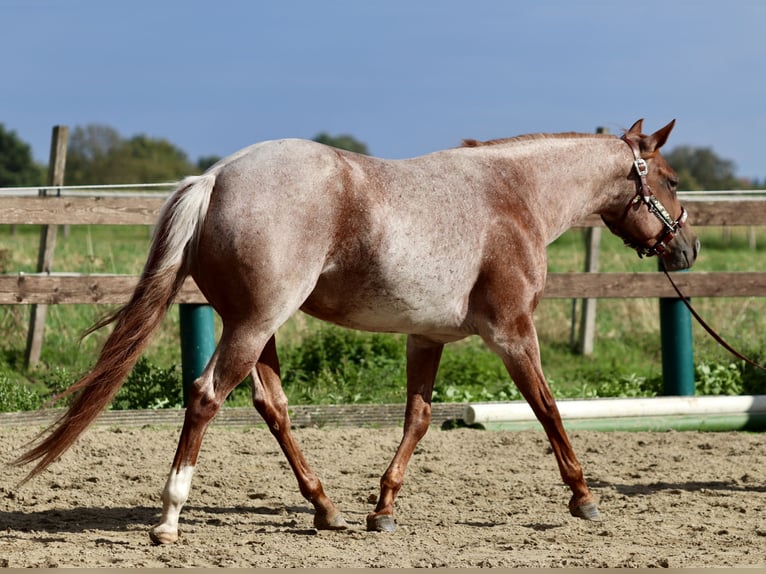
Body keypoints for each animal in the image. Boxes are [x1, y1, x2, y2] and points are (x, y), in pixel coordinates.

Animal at [13, 118, 699, 544]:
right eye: (668, 181)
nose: (686, 249)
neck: (512, 195)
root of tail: (215, 178)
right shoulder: (511, 332)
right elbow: (548, 408)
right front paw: (584, 497)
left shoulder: (428, 338)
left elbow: (418, 419)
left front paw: (383, 509)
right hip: (255, 324)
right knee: (208, 395)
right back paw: (170, 518)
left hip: (260, 327)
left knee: (271, 405)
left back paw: (326, 509)